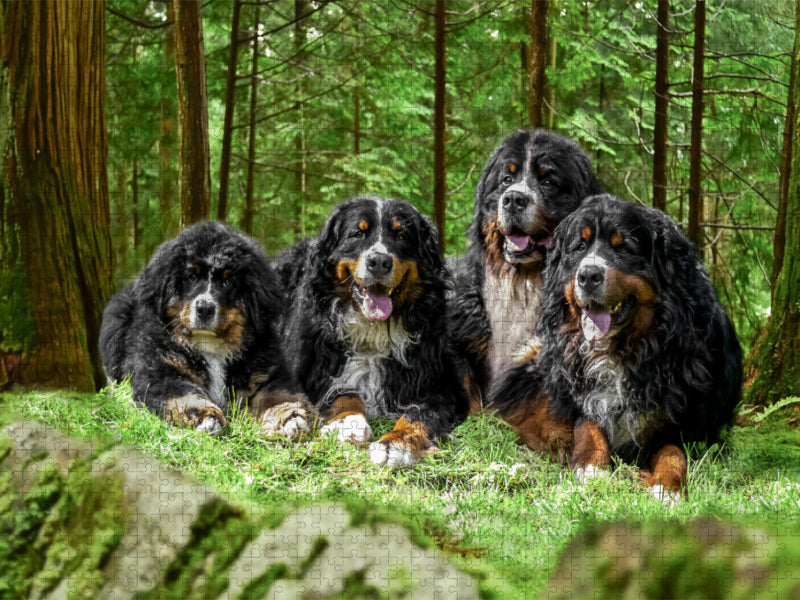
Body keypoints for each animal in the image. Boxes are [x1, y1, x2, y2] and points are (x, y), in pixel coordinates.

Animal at [98, 220, 310, 436]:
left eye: (227, 281)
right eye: (192, 276)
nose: (204, 308)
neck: (210, 344)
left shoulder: (265, 373)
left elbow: (278, 397)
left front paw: (290, 419)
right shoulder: (162, 373)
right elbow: (186, 396)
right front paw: (206, 417)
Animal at [282, 195, 468, 466]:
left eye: (401, 236)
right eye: (358, 233)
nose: (379, 262)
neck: (373, 330)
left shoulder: (444, 386)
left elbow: (417, 414)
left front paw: (395, 443)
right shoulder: (314, 369)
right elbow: (344, 391)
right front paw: (348, 421)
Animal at [488, 196, 744, 502]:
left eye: (624, 248)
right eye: (580, 247)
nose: (588, 275)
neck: (623, 348)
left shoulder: (687, 423)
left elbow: (673, 452)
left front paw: (668, 487)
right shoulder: (577, 392)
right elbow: (587, 425)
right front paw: (589, 467)